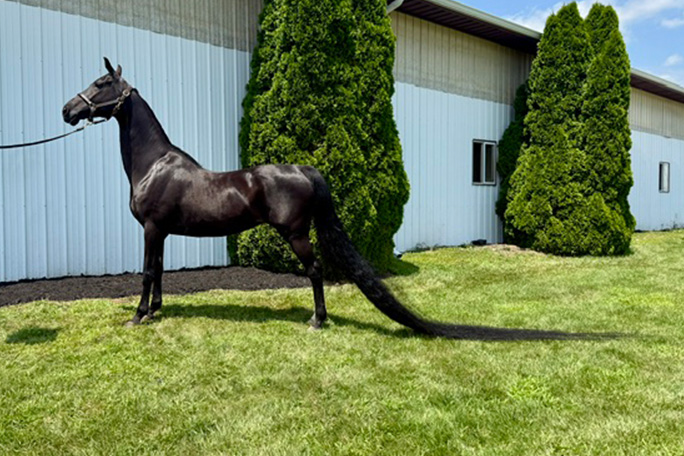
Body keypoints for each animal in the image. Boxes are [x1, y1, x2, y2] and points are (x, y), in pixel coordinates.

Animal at [61, 58, 585, 341]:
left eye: (102, 84)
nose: (67, 110)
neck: (155, 163)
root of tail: (307, 169)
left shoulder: (151, 228)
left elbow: (147, 272)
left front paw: (138, 316)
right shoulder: (162, 233)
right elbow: (159, 272)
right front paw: (156, 311)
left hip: (296, 235)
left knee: (315, 272)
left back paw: (318, 320)